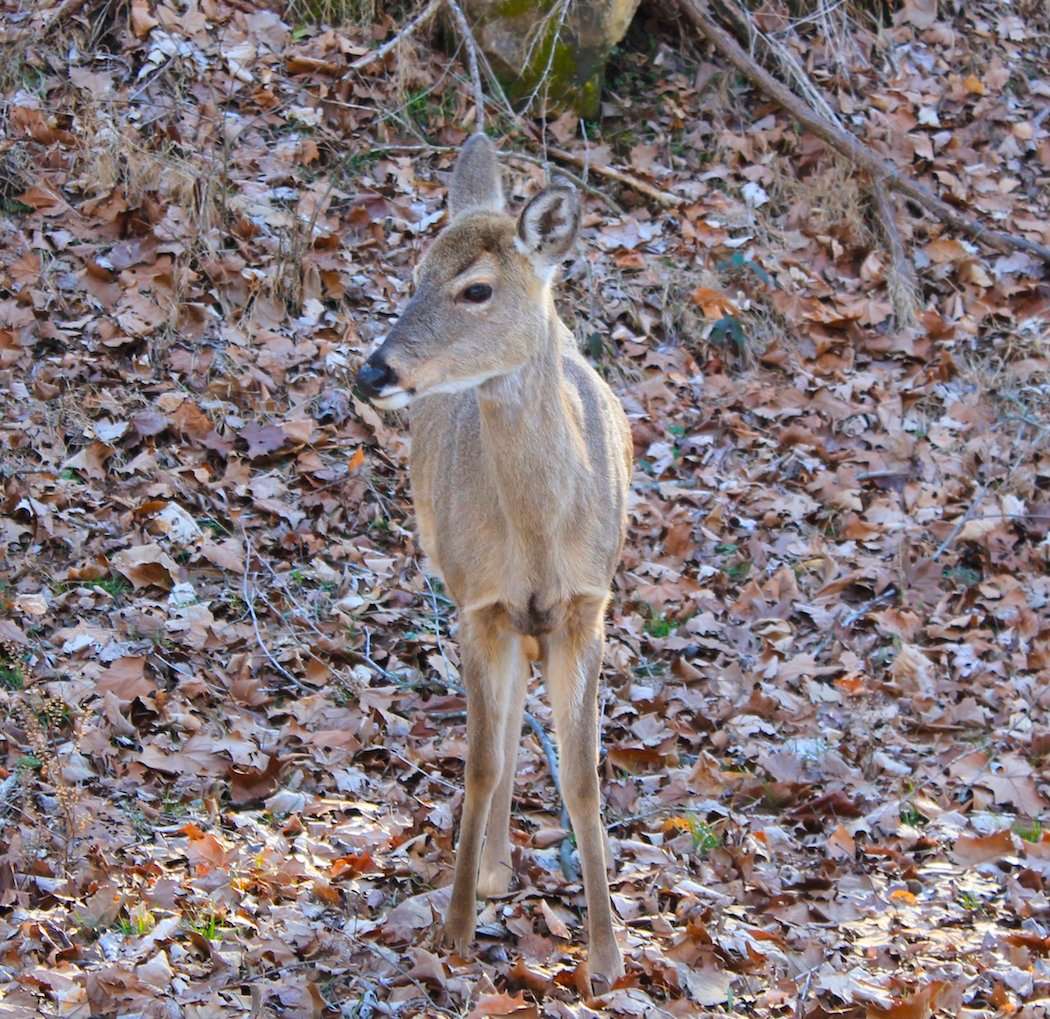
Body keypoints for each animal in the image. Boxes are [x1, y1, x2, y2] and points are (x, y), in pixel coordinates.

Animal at [352, 131, 630, 987]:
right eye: (412, 276)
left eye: (475, 289)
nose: (371, 372)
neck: (540, 536)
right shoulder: (479, 602)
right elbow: (478, 760)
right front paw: (455, 925)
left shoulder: (587, 605)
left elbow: (582, 776)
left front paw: (605, 956)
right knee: (503, 729)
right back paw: (496, 866)